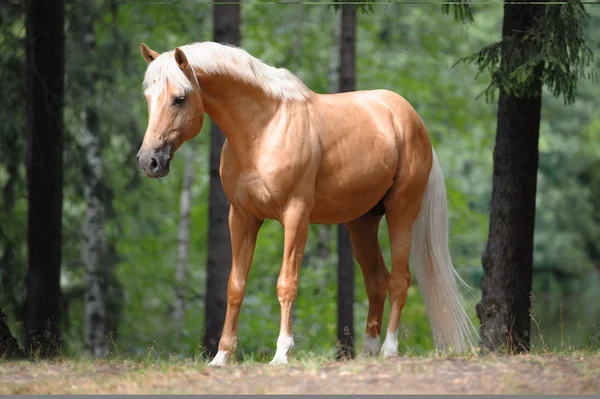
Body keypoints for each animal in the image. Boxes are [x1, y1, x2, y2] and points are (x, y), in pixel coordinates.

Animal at [138, 42, 476, 368]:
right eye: (148, 97)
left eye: (179, 98)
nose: (148, 160)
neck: (263, 131)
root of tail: (412, 120)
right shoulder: (242, 217)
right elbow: (236, 285)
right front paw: (221, 356)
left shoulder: (296, 215)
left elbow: (286, 283)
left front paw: (281, 354)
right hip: (362, 222)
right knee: (376, 280)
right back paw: (368, 350)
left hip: (401, 212)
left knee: (399, 280)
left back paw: (389, 349)